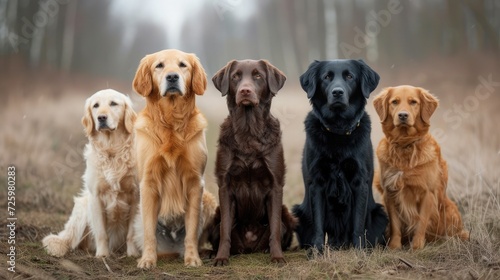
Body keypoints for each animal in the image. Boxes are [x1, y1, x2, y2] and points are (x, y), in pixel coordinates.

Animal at [133, 49, 217, 268]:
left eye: (182, 65)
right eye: (159, 65)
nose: (172, 77)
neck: (171, 122)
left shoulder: (195, 181)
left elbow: (192, 230)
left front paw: (192, 258)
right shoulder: (148, 182)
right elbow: (149, 232)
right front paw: (147, 260)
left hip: (209, 199)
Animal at [292, 59, 388, 252]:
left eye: (350, 76)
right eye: (326, 77)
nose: (337, 92)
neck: (338, 129)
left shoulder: (360, 181)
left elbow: (358, 223)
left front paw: (359, 251)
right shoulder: (317, 182)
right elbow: (318, 224)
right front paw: (317, 251)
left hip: (380, 214)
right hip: (299, 213)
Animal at [376, 85, 468, 249]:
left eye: (413, 102)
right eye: (394, 102)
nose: (403, 115)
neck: (404, 144)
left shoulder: (427, 194)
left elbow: (421, 222)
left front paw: (417, 247)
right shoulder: (390, 192)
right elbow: (395, 224)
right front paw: (394, 247)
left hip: (450, 210)